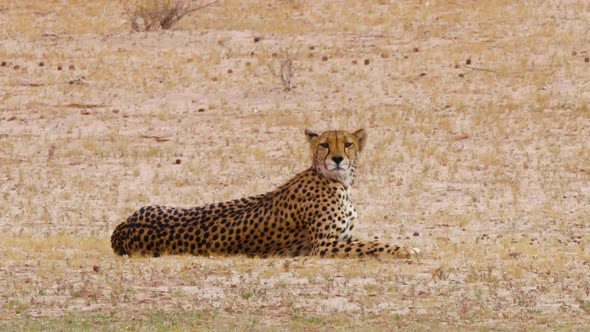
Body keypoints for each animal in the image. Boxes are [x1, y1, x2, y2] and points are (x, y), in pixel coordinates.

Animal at [110, 128, 416, 258]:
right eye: (325, 145)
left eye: (348, 144)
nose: (338, 158)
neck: (337, 181)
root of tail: (120, 230)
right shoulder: (324, 246)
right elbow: (375, 245)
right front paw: (406, 249)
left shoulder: (341, 238)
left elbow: (372, 240)